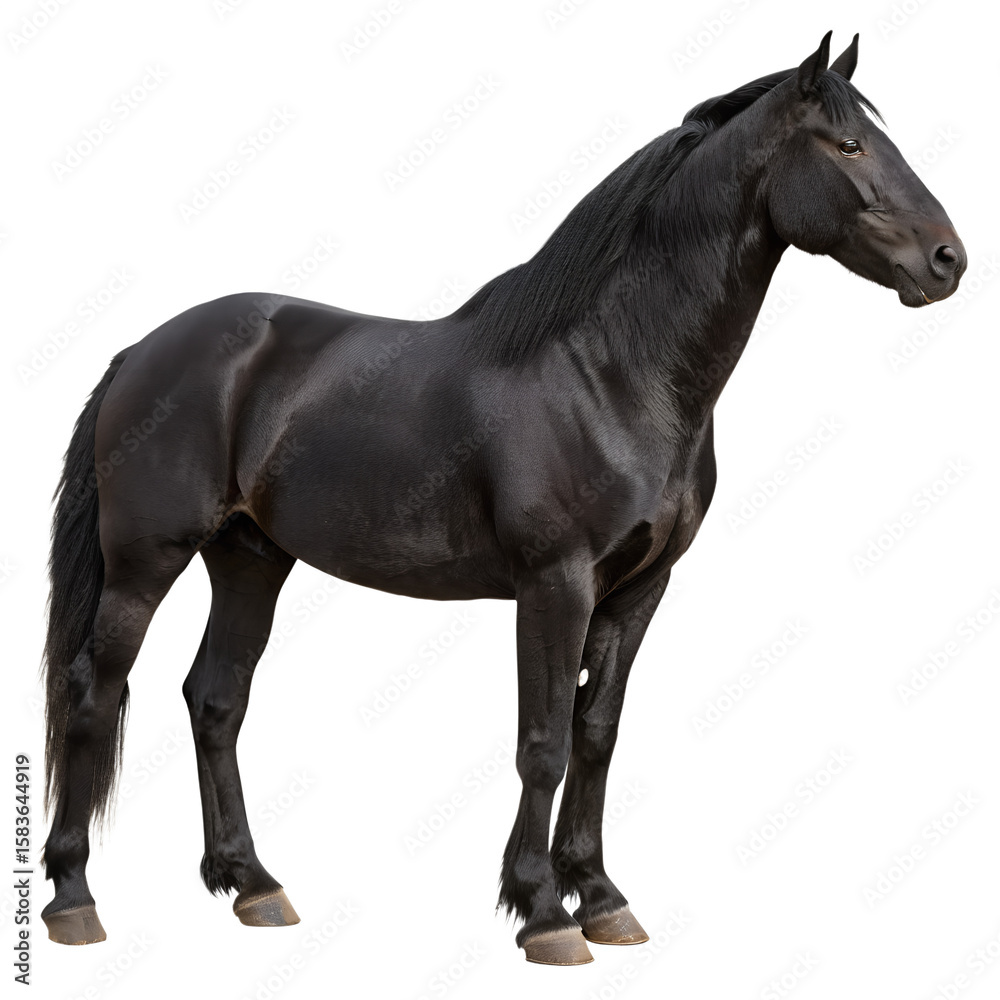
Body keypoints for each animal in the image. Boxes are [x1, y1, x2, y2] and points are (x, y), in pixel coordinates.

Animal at [40, 32, 966, 964]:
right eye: (849, 146)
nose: (948, 260)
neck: (610, 375)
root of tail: (144, 349)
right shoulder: (555, 585)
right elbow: (544, 743)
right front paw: (543, 912)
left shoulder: (639, 592)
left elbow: (597, 736)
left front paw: (602, 897)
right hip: (145, 562)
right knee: (93, 693)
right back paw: (73, 899)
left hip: (250, 559)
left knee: (216, 699)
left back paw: (253, 885)